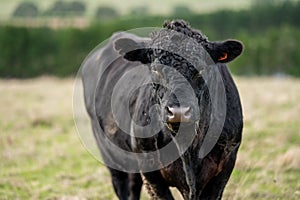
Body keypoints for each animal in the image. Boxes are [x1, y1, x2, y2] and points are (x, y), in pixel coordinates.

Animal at [80, 20, 244, 200]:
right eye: (155, 69)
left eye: (201, 68)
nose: (179, 111)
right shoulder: (150, 171)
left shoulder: (225, 163)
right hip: (112, 157)